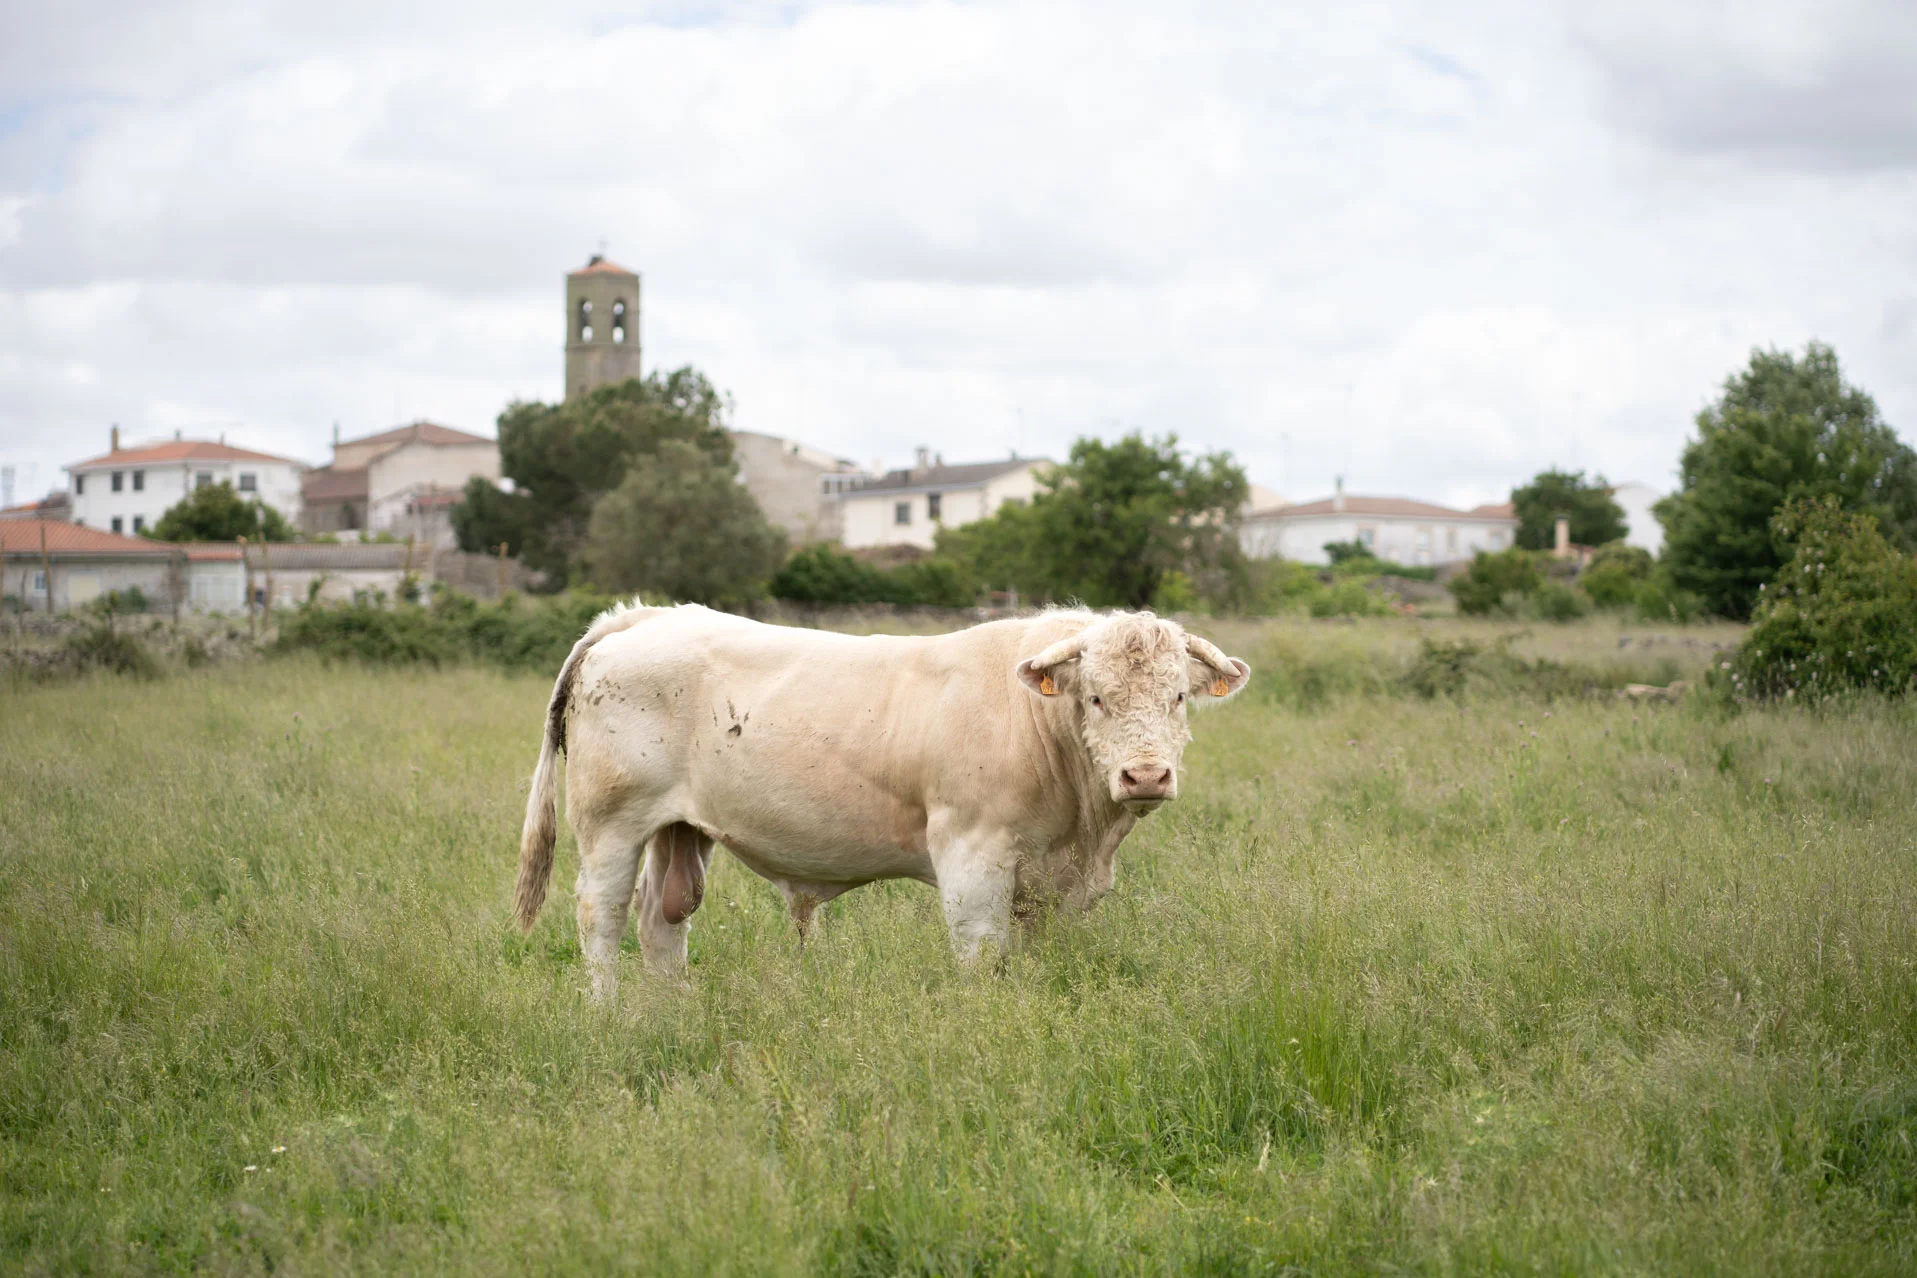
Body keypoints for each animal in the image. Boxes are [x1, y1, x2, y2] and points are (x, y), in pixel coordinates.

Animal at [513, 601, 1257, 996]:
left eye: (1178, 696)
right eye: (1096, 697)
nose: (1145, 776)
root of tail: (643, 616)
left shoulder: (1060, 882)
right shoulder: (972, 856)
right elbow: (981, 954)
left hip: (679, 827)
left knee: (663, 920)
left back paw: (673, 1011)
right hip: (611, 822)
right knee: (602, 917)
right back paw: (611, 1015)